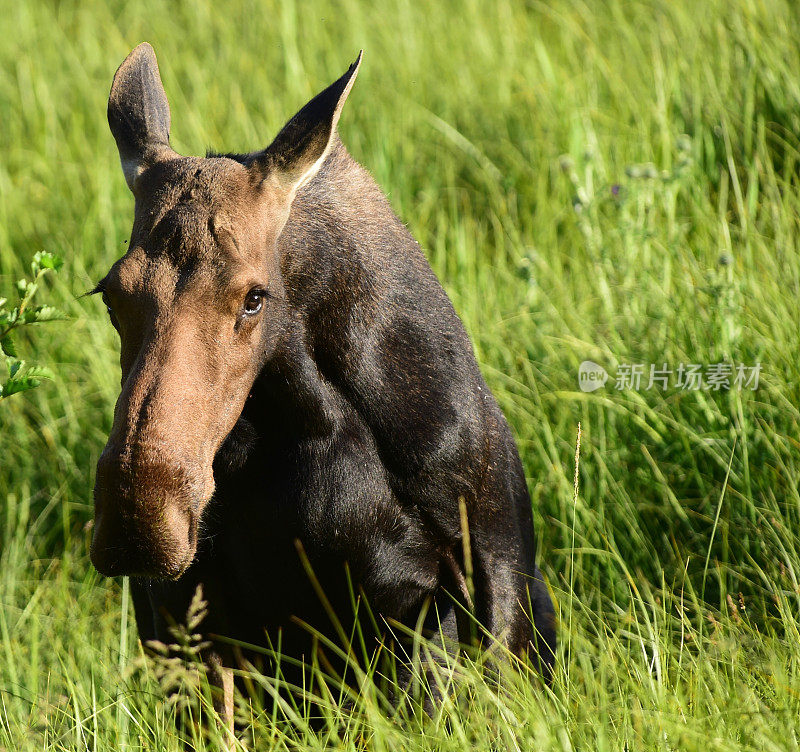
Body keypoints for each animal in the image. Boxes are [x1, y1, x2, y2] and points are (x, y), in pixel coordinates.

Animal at [90, 41, 552, 716]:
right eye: (109, 293)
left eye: (254, 298)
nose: (140, 518)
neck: (310, 412)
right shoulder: (187, 614)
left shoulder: (482, 572)